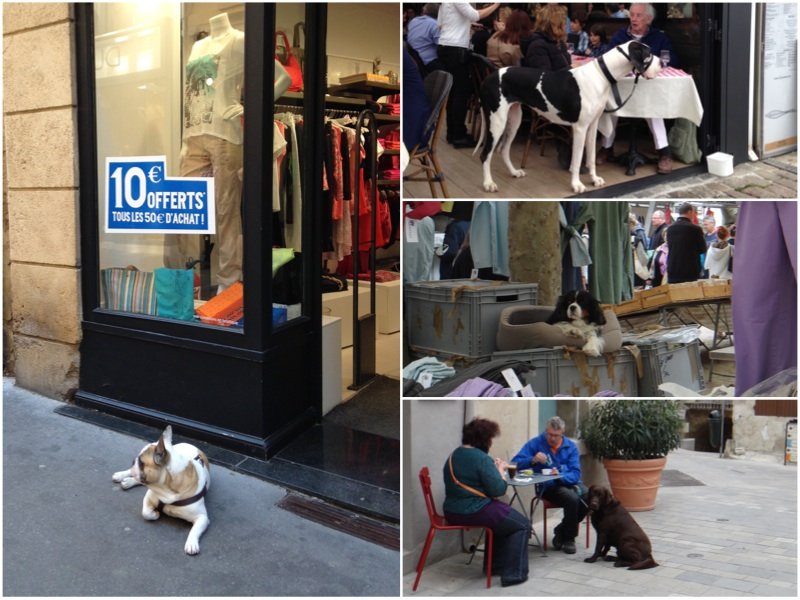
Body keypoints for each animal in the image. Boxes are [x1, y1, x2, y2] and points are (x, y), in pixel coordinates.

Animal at [115, 424, 212, 556]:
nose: (133, 460)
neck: (166, 488)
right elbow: (145, 513)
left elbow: (195, 530)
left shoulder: (202, 517)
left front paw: (192, 543)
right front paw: (155, 514)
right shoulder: (149, 496)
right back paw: (121, 476)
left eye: (141, 461)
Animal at [478, 40, 660, 195]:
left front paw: (594, 179)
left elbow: (591, 157)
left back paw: (514, 172)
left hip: (514, 120)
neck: (601, 75)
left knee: (503, 149)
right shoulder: (580, 128)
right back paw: (488, 183)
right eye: (648, 54)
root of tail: (489, 76)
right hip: (496, 122)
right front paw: (577, 184)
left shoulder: (592, 127)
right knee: (486, 154)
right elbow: (578, 159)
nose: (662, 63)